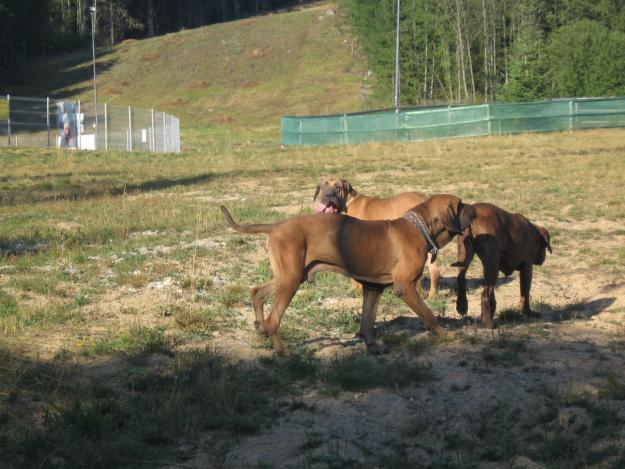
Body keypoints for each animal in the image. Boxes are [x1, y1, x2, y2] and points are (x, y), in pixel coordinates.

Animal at [222, 194, 476, 354]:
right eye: (461, 204)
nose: (475, 209)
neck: (419, 228)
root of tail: (275, 226)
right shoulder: (406, 287)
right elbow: (428, 315)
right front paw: (444, 334)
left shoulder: (373, 288)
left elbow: (367, 321)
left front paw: (371, 344)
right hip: (291, 280)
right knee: (274, 320)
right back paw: (283, 352)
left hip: (290, 276)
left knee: (257, 292)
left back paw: (259, 327)